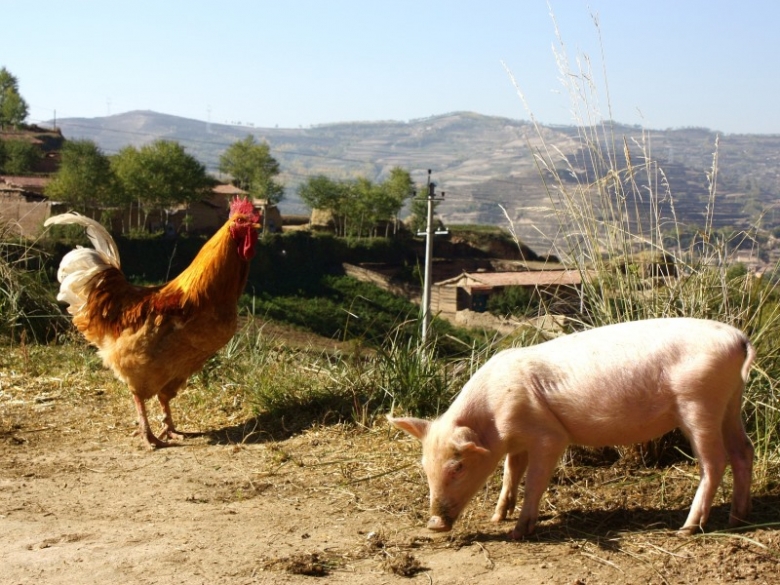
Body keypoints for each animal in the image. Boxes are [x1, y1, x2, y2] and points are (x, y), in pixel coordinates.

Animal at [390, 320, 756, 540]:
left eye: (458, 466)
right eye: (425, 467)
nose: (434, 524)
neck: (493, 417)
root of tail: (738, 339)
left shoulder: (549, 436)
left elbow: (534, 480)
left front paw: (519, 532)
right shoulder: (517, 440)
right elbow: (511, 471)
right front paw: (497, 517)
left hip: (699, 403)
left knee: (714, 461)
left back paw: (687, 528)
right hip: (730, 401)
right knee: (744, 451)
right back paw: (737, 519)